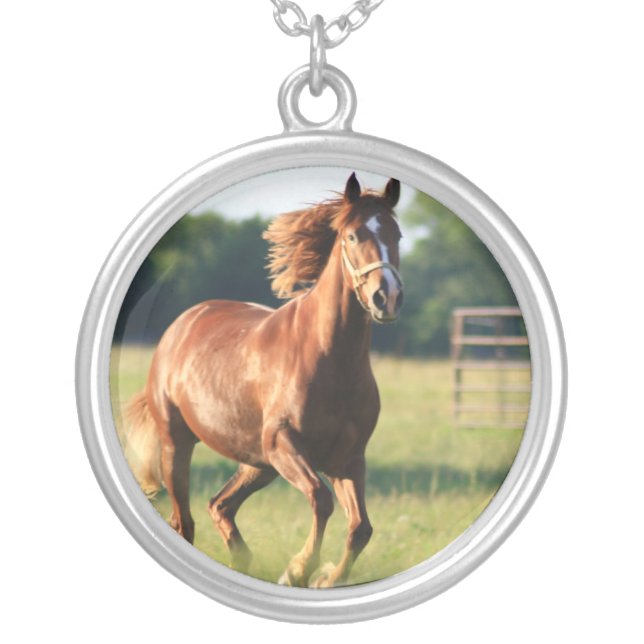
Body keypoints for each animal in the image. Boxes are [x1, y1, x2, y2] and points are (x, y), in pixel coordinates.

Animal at [124, 172, 403, 587]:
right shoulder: (283, 444)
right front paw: (297, 570)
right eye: (353, 236)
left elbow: (360, 528)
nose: (387, 297)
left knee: (220, 506)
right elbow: (321, 499)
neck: (328, 360)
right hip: (180, 446)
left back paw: (244, 561)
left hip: (258, 464)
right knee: (184, 522)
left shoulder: (348, 458)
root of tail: (182, 324)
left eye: (397, 234)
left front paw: (325, 578)